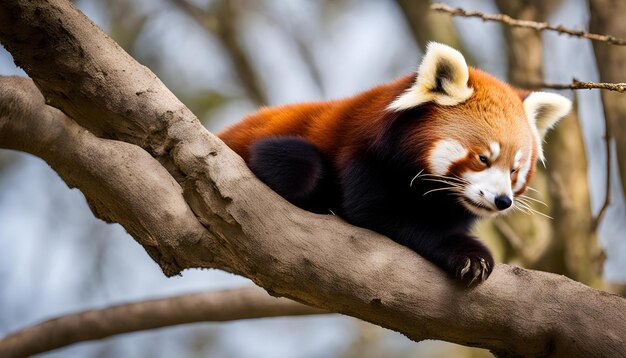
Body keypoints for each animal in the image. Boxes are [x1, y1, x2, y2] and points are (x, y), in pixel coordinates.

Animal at [217, 42, 568, 286]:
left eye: (514, 170)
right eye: (484, 158)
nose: (502, 201)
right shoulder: (362, 157)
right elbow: (380, 215)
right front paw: (470, 254)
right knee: (302, 166)